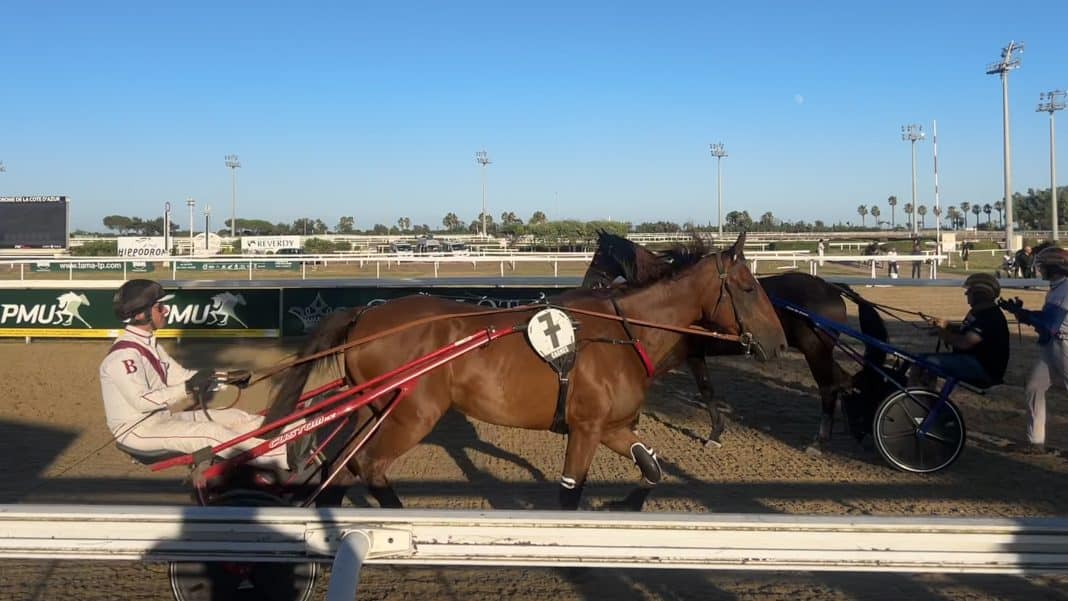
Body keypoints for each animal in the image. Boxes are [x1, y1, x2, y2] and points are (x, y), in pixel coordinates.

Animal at [267, 233, 787, 511]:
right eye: (748, 287)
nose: (780, 342)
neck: (622, 331)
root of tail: (364, 315)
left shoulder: (612, 427)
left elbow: (652, 467)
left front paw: (627, 504)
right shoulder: (586, 428)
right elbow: (570, 493)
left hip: (373, 410)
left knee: (341, 466)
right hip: (411, 414)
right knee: (368, 466)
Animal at [581, 230, 888, 448]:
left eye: (597, 256)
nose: (587, 285)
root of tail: (832, 287)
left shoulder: (688, 354)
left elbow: (705, 390)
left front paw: (714, 434)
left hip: (815, 350)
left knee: (829, 386)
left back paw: (821, 440)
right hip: (821, 351)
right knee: (844, 381)